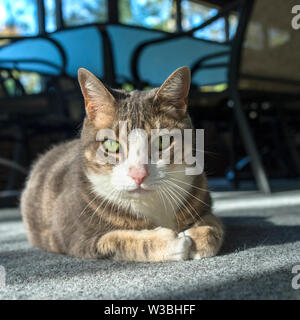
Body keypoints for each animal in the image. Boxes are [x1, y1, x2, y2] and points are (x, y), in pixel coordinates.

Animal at [20, 66, 223, 262]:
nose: (138, 174)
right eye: (112, 144)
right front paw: (170, 242)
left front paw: (200, 236)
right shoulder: (77, 236)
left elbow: (214, 223)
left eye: (162, 141)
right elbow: (118, 239)